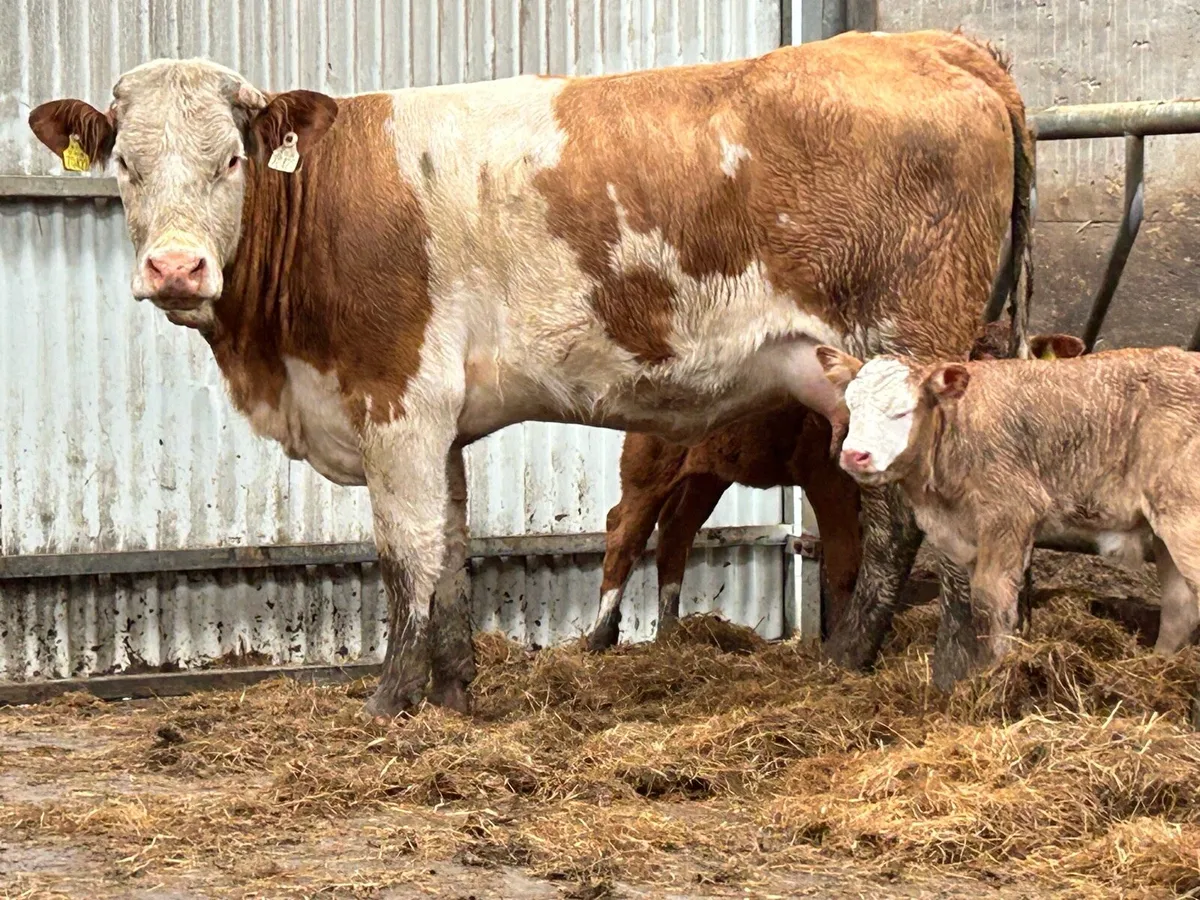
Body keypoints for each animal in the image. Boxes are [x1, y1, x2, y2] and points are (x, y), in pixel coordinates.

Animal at [29, 28, 1033, 718]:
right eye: (126, 163)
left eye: (232, 159)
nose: (176, 268)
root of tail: (930, 41)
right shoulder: (438, 421)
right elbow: (451, 553)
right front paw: (455, 696)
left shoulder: (396, 400)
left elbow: (404, 554)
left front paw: (390, 703)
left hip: (902, 350)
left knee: (906, 520)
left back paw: (881, 665)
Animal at [589, 327, 1085, 652]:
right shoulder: (829, 480)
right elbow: (846, 562)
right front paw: (842, 644)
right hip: (648, 458)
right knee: (625, 529)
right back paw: (600, 637)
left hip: (710, 471)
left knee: (677, 531)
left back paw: (670, 633)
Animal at [816, 344, 1200, 668]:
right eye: (851, 406)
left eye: (902, 411)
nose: (854, 455)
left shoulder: (1010, 512)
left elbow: (992, 599)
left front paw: (998, 675)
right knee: (1179, 606)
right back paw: (1159, 665)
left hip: (1185, 519)